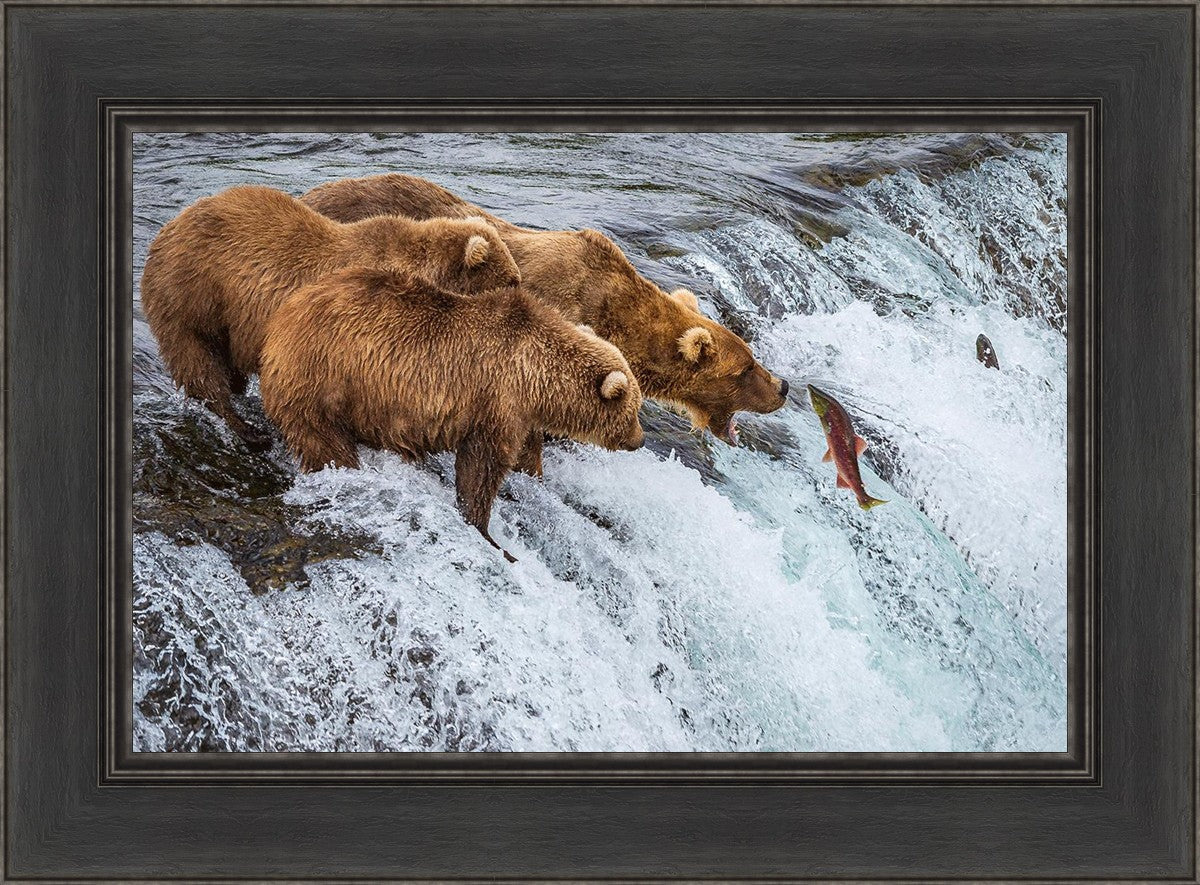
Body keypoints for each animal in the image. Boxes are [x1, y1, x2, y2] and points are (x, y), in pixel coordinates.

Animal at [140, 184, 521, 450]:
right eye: (512, 280)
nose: (522, 292)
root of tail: (167, 228)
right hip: (192, 295)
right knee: (198, 363)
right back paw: (248, 430)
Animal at [258, 265, 645, 560]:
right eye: (634, 410)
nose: (640, 440)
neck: (536, 376)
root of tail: (280, 320)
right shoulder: (496, 401)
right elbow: (481, 468)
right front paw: (488, 533)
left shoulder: (520, 414)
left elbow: (524, 455)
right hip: (322, 380)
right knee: (325, 442)